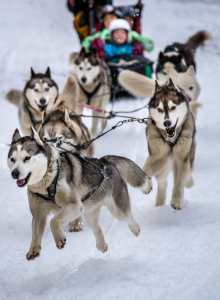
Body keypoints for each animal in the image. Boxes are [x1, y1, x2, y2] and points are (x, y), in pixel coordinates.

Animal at [8, 127, 153, 258]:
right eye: (12, 159)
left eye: (27, 158)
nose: (14, 173)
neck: (46, 182)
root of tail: (104, 161)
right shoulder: (38, 214)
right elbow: (35, 232)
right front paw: (33, 249)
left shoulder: (74, 206)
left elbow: (54, 221)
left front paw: (59, 238)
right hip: (89, 213)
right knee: (97, 229)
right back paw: (101, 245)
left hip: (116, 210)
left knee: (128, 217)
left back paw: (135, 229)